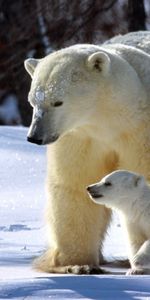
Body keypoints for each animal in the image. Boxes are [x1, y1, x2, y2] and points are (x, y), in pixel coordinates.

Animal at [24, 31, 150, 274]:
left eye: (58, 102)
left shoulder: (140, 132)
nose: (35, 136)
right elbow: (73, 186)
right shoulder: (79, 138)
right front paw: (78, 264)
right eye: (33, 100)